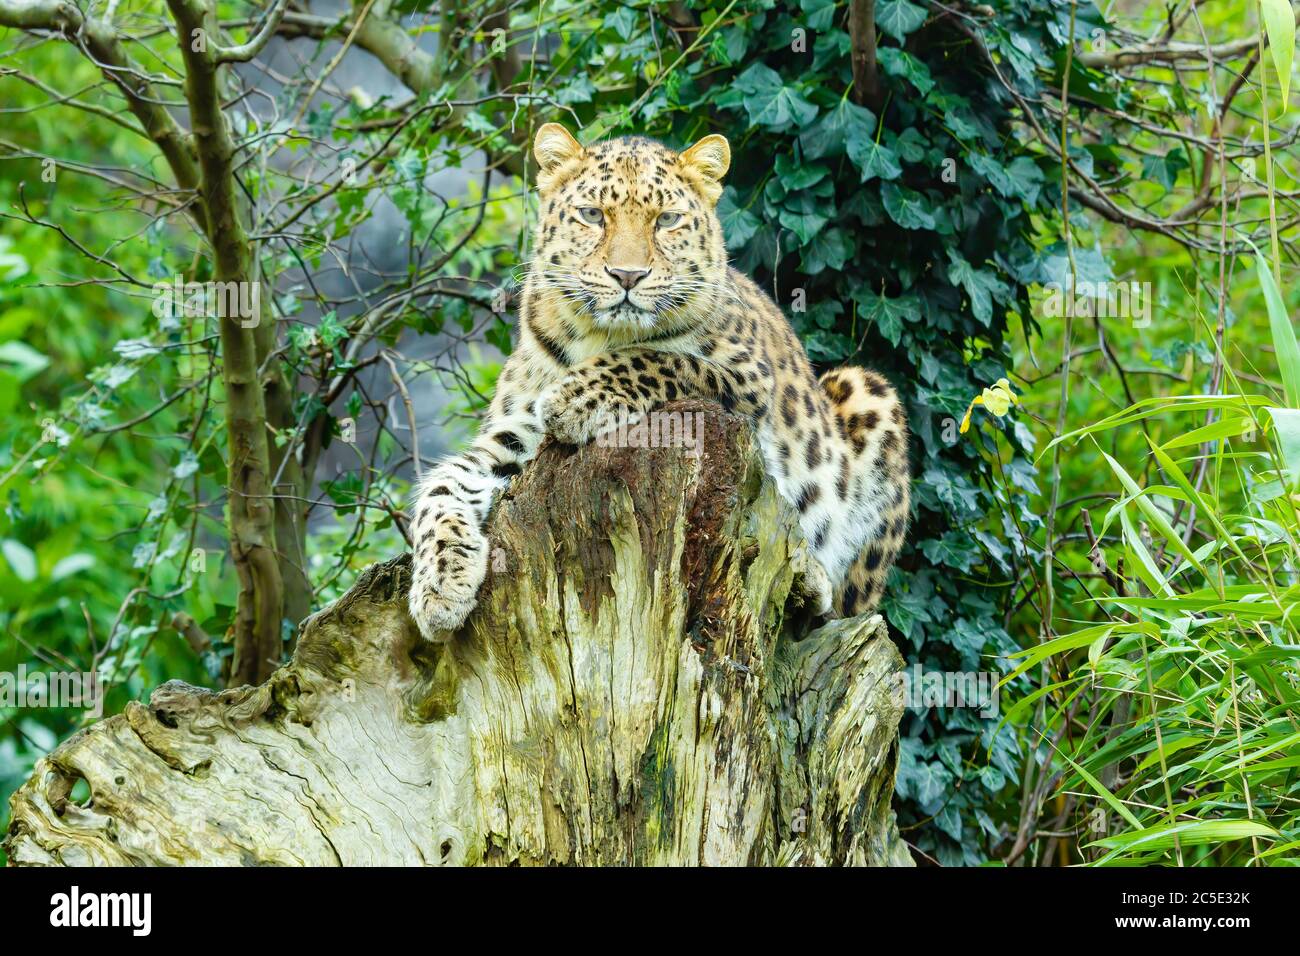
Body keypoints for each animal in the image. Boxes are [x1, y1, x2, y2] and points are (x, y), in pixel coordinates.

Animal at [410, 123, 909, 639]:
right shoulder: (511, 438)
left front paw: (574, 398)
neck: (601, 334)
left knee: (839, 604)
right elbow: (441, 490)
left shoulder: (749, 377)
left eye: (667, 220)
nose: (627, 275)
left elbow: (659, 359)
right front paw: (440, 587)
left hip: (866, 392)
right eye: (593, 215)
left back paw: (813, 576)